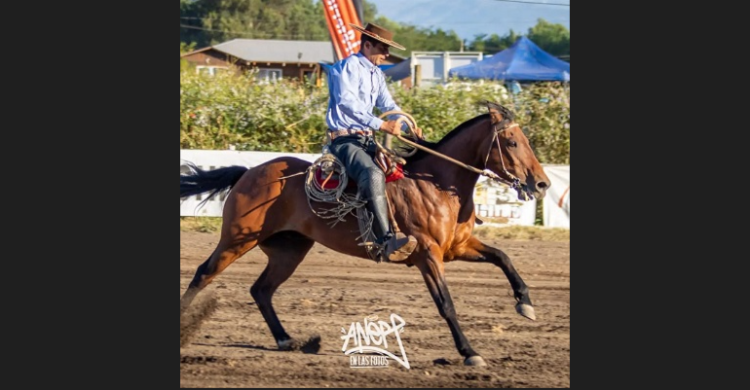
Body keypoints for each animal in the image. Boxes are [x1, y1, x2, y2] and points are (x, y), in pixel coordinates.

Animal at [178, 102, 548, 368]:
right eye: (512, 142)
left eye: (527, 140)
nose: (542, 183)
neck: (436, 184)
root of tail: (250, 172)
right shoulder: (428, 255)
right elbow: (446, 304)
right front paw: (470, 351)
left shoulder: (457, 247)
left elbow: (503, 257)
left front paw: (525, 303)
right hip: (238, 238)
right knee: (203, 274)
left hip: (289, 251)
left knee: (261, 290)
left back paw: (289, 340)